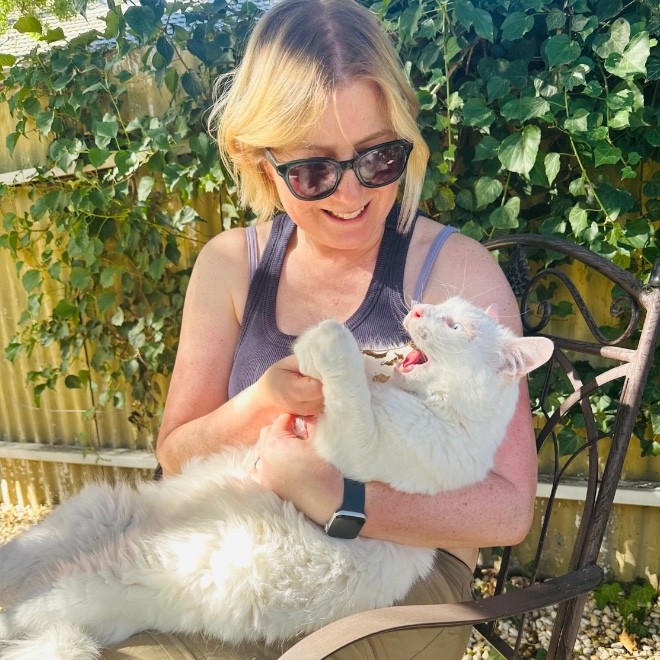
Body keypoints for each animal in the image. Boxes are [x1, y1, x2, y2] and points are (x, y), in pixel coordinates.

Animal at [0, 296, 553, 660]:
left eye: (454, 324)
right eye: (435, 303)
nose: (416, 312)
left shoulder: (359, 446)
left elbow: (348, 378)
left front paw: (333, 337)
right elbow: (355, 367)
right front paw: (341, 352)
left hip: (102, 576)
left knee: (22, 614)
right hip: (82, 521)